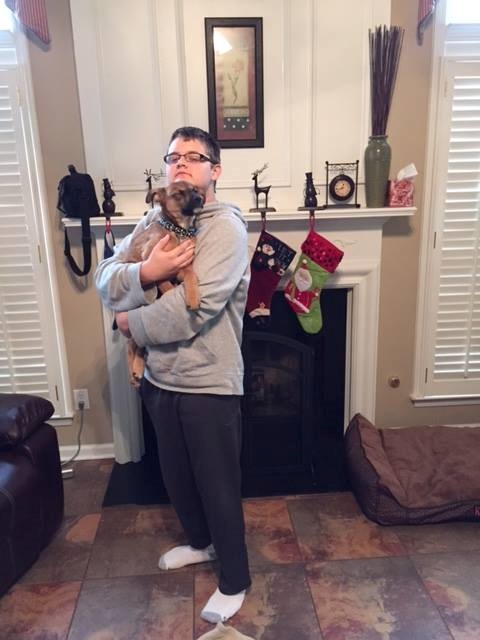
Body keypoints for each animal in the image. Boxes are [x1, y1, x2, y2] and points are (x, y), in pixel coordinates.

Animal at [121, 180, 204, 387]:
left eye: (195, 190)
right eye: (178, 194)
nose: (200, 198)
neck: (178, 230)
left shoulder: (183, 266)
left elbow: (190, 274)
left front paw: (193, 296)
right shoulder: (153, 262)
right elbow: (164, 284)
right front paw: (170, 293)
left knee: (139, 346)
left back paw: (137, 369)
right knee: (131, 346)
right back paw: (134, 371)